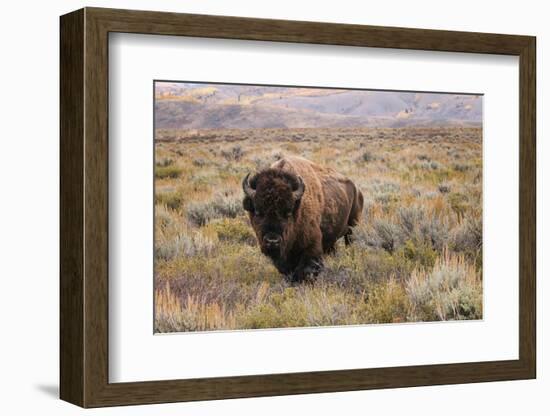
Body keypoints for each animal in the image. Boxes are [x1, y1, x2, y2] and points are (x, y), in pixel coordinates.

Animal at [243, 154, 364, 284]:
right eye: (258, 212)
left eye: (288, 212)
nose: (272, 241)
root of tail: (357, 189)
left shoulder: (311, 245)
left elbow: (306, 269)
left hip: (352, 227)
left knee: (349, 242)